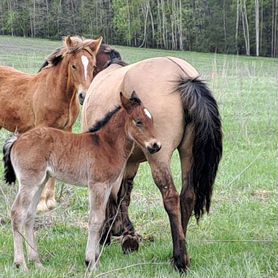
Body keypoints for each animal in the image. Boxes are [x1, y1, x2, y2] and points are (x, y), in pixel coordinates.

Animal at [0, 35, 102, 212]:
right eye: (73, 65)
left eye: (93, 66)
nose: (84, 95)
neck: (58, 94)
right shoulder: (44, 129)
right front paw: (41, 203)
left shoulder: (66, 130)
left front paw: (51, 201)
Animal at [2, 92, 161, 272]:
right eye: (139, 121)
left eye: (151, 119)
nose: (156, 145)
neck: (107, 145)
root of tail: (18, 139)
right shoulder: (97, 185)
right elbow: (95, 220)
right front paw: (90, 262)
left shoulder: (106, 187)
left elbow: (101, 219)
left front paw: (96, 260)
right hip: (29, 182)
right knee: (18, 213)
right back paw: (21, 264)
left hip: (41, 182)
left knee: (29, 215)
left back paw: (37, 262)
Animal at [80, 50, 222, 272]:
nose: (81, 96)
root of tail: (183, 77)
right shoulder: (130, 162)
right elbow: (124, 194)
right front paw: (125, 233)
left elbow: (111, 195)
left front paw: (108, 234)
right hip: (187, 153)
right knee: (187, 196)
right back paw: (180, 246)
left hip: (159, 156)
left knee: (171, 197)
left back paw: (180, 259)